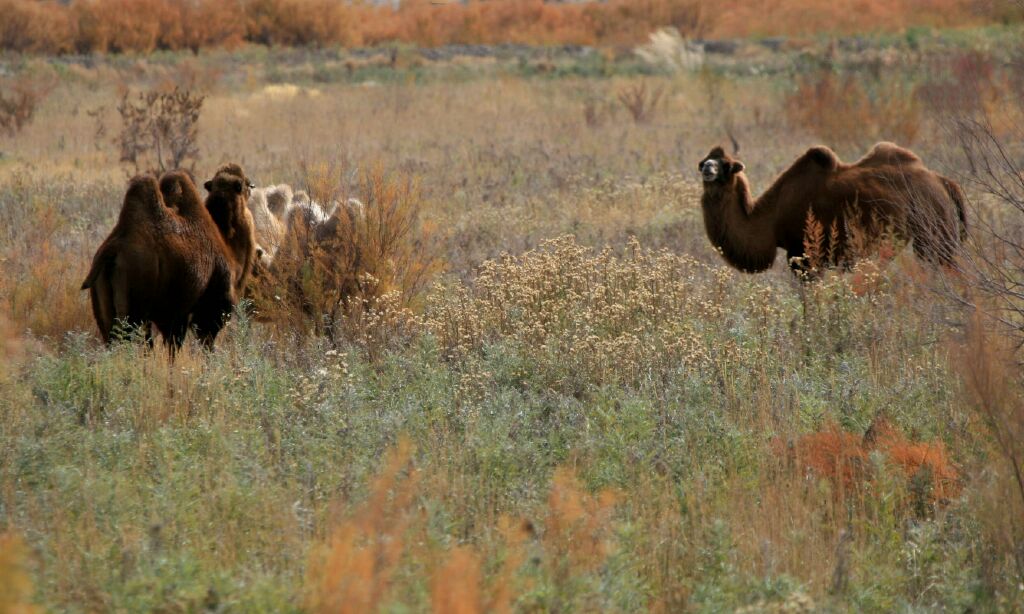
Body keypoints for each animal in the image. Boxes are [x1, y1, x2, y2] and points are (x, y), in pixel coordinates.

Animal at [78, 169, 249, 349]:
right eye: (242, 185)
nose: (251, 185)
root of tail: (112, 250)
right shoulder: (198, 309)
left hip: (106, 312)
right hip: (134, 310)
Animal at [696, 142, 966, 274]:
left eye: (726, 165)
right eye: (704, 161)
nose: (708, 168)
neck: (770, 221)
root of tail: (942, 182)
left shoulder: (803, 256)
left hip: (934, 235)